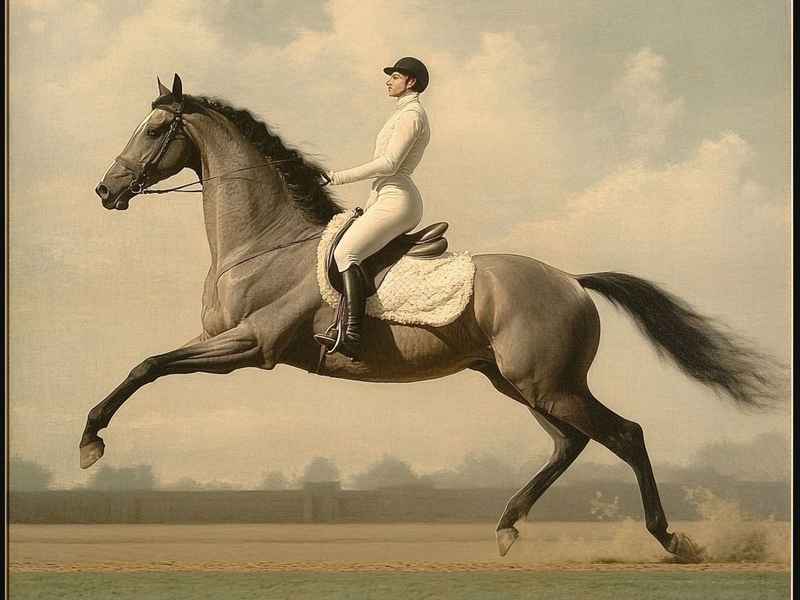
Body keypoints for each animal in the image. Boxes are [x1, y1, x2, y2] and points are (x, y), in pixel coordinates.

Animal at [86, 74, 781, 561]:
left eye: (154, 128)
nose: (106, 190)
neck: (264, 240)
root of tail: (570, 281)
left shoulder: (250, 345)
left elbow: (148, 365)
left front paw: (90, 440)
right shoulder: (222, 339)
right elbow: (148, 363)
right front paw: (92, 437)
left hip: (547, 383)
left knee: (626, 436)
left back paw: (672, 541)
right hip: (519, 382)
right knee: (571, 442)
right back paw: (506, 526)